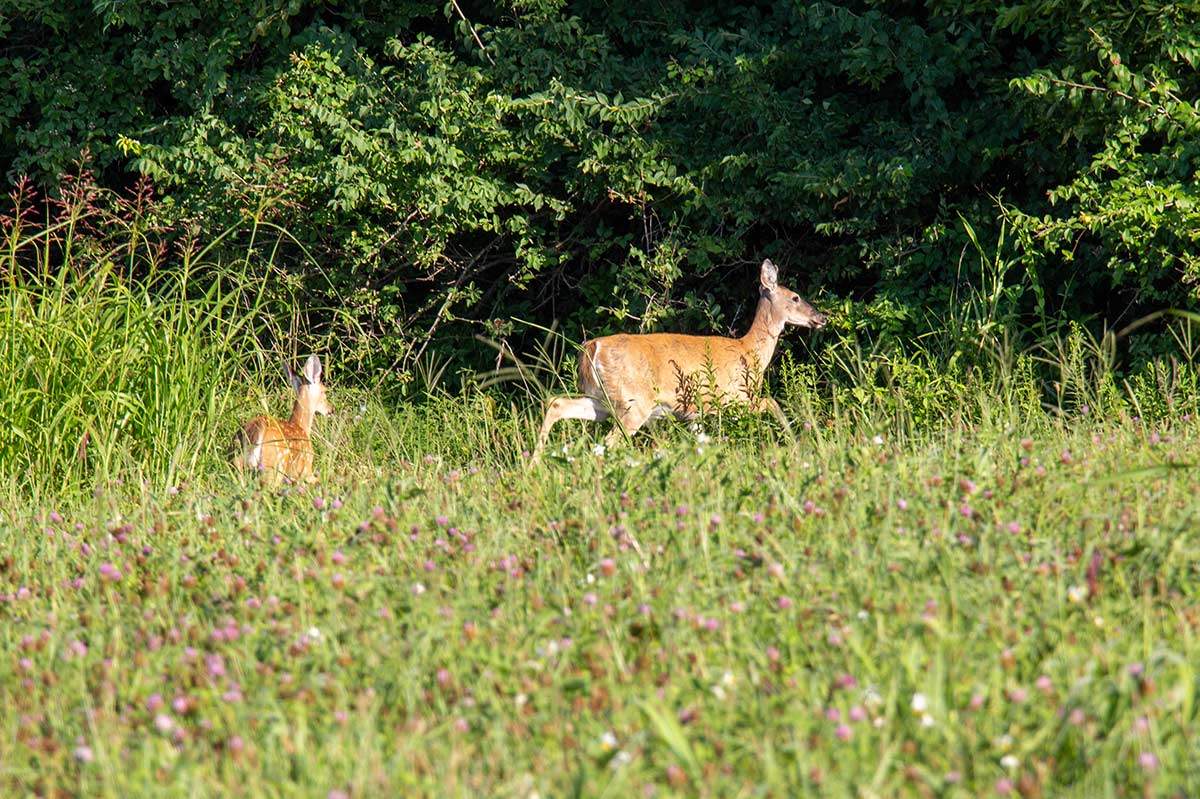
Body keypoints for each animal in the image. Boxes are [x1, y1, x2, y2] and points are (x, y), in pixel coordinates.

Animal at [233, 355, 333, 484]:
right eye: (324, 391)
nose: (331, 409)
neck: (301, 426)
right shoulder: (305, 469)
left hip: (237, 459)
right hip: (274, 466)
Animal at [533, 259, 827, 459]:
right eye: (795, 297)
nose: (822, 317)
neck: (749, 351)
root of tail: (593, 347)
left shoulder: (695, 410)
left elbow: (701, 440)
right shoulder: (733, 396)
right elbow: (772, 402)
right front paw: (797, 441)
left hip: (603, 400)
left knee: (558, 404)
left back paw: (535, 463)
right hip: (634, 402)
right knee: (607, 442)